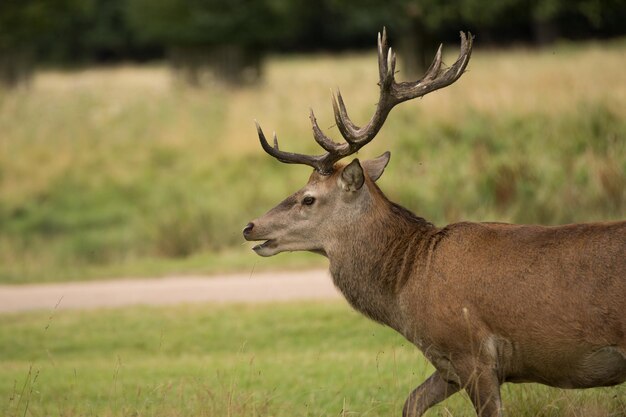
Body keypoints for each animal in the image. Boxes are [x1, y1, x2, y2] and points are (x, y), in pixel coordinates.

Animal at [240, 27, 624, 414]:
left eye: (308, 198)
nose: (250, 226)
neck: (409, 282)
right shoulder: (447, 364)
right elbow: (411, 402)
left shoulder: (472, 352)